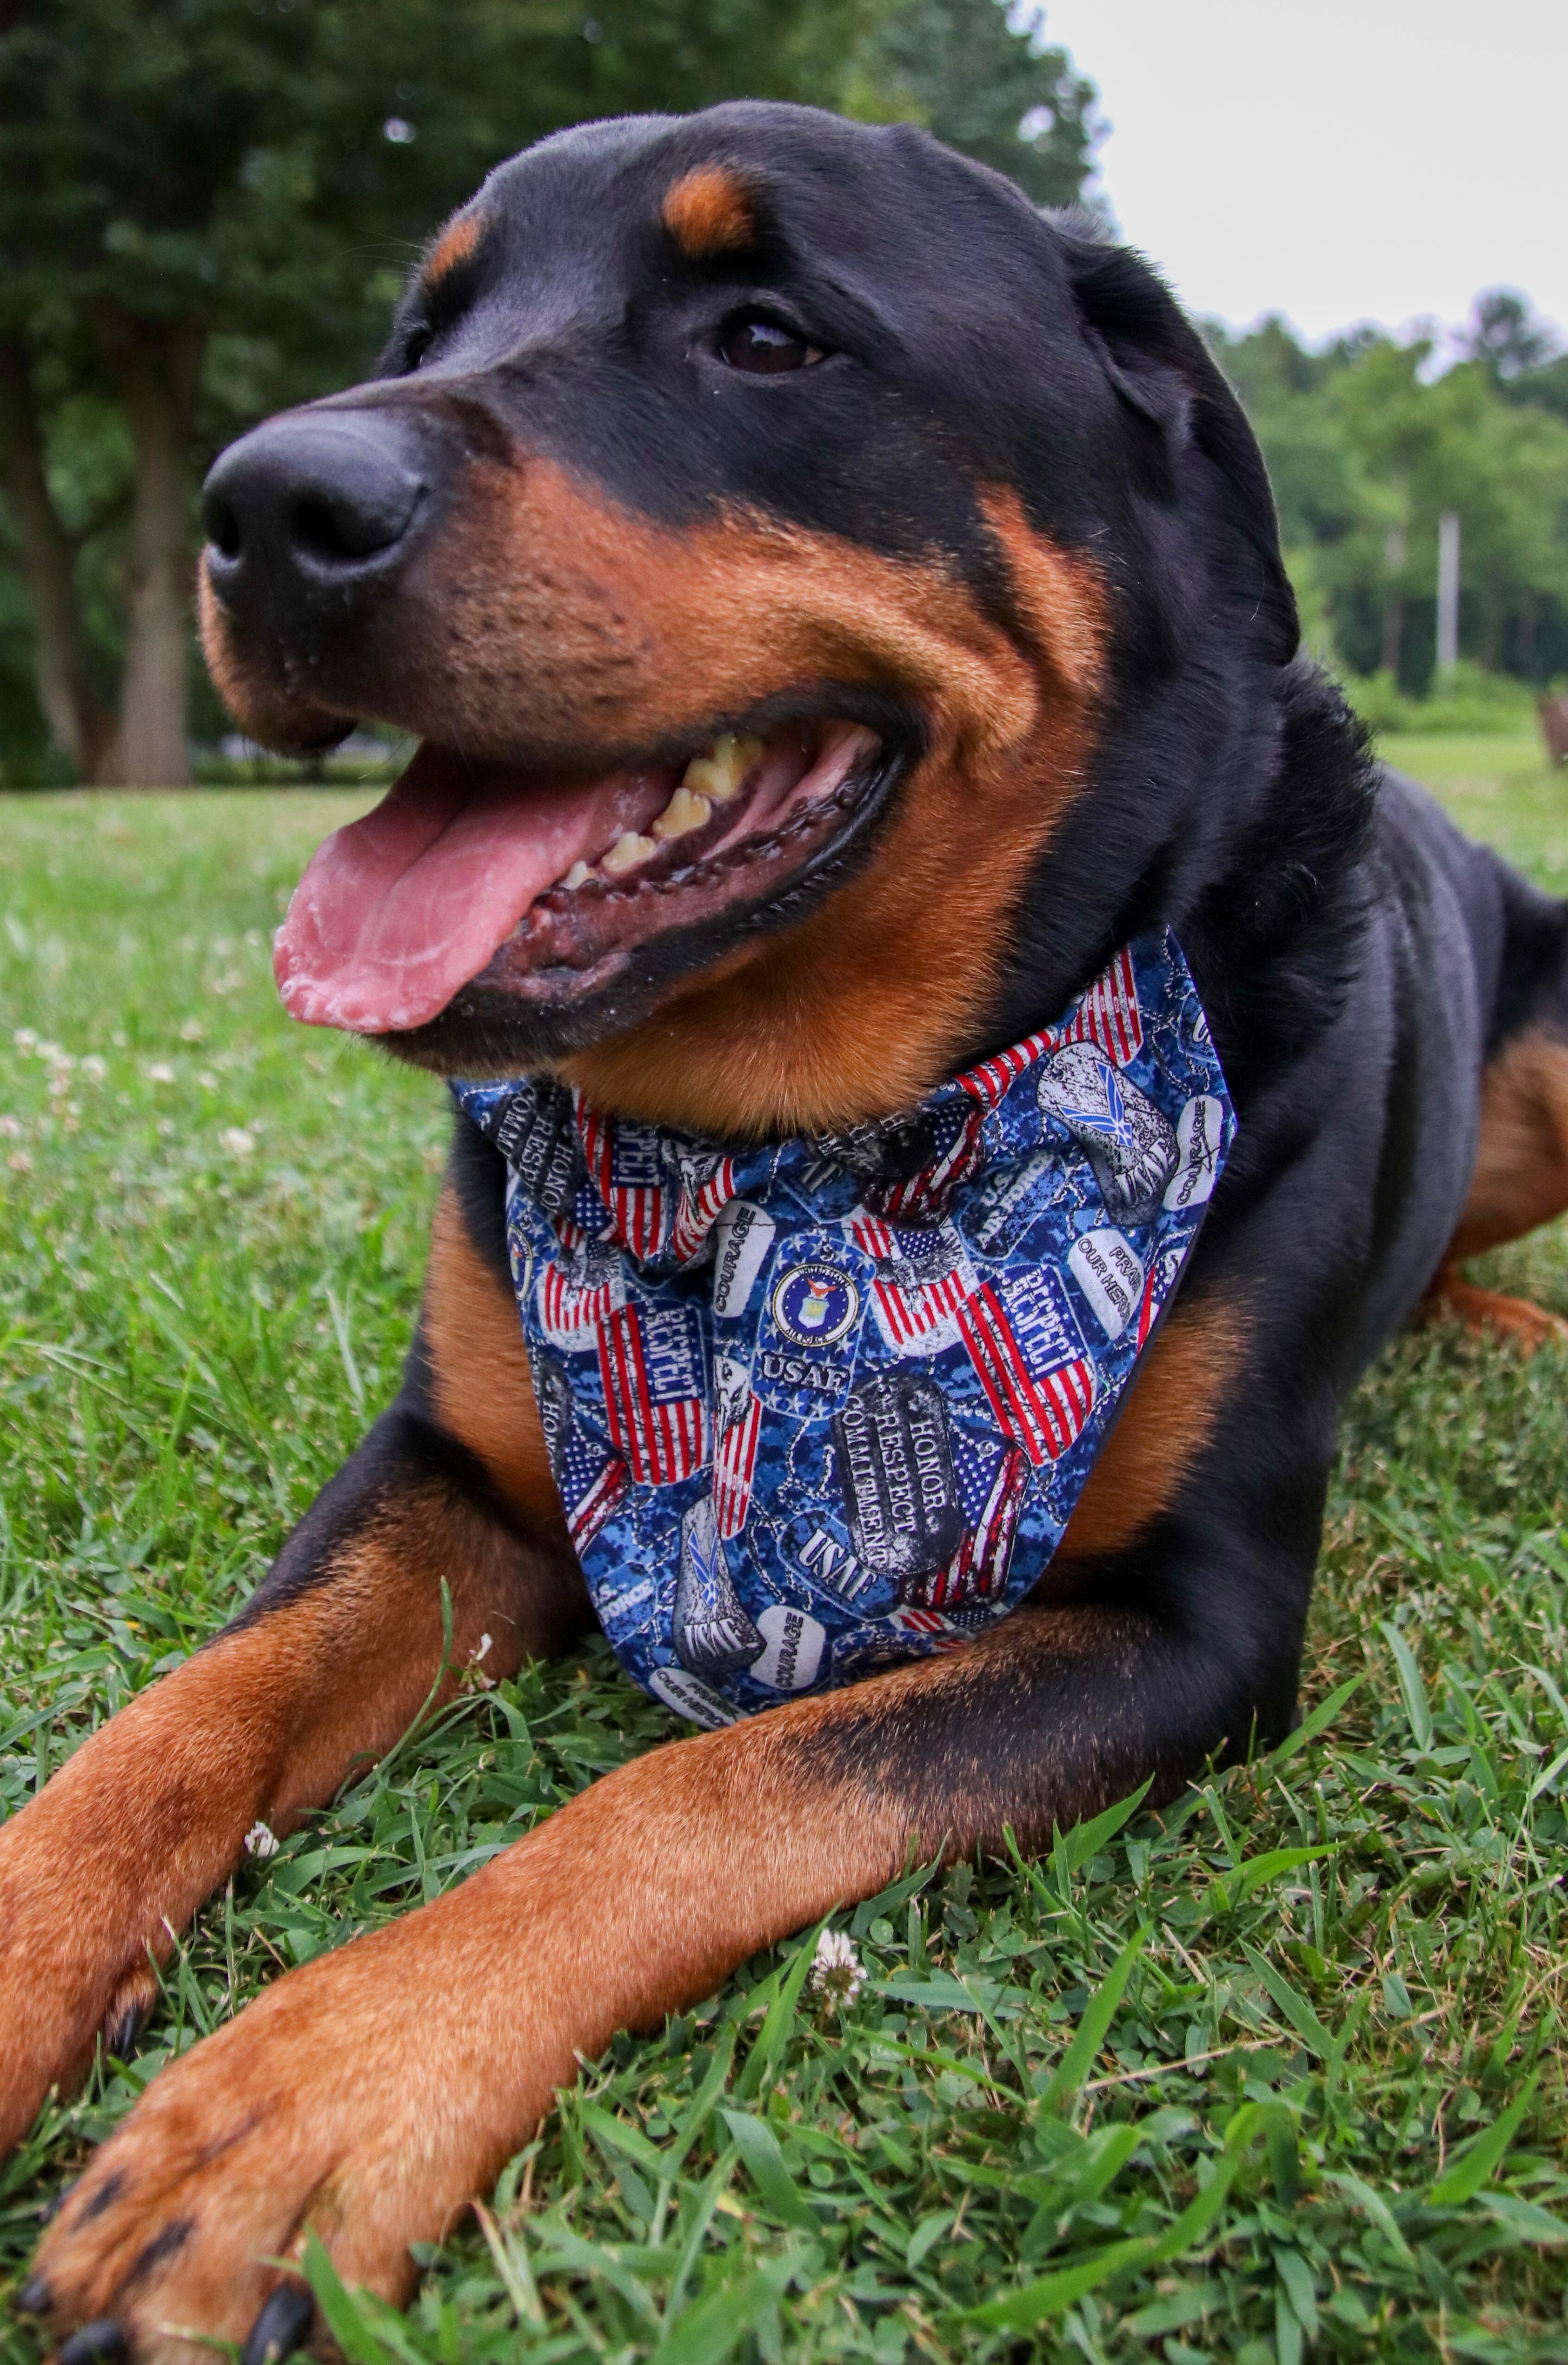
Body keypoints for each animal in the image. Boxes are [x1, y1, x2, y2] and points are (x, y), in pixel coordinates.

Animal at [9, 101, 1568, 2355]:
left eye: (765, 334)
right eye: (426, 326)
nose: (267, 505)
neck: (802, 1172)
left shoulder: (1189, 1623)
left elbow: (712, 1784)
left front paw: (314, 2092)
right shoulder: (461, 1467)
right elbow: (180, 1716)